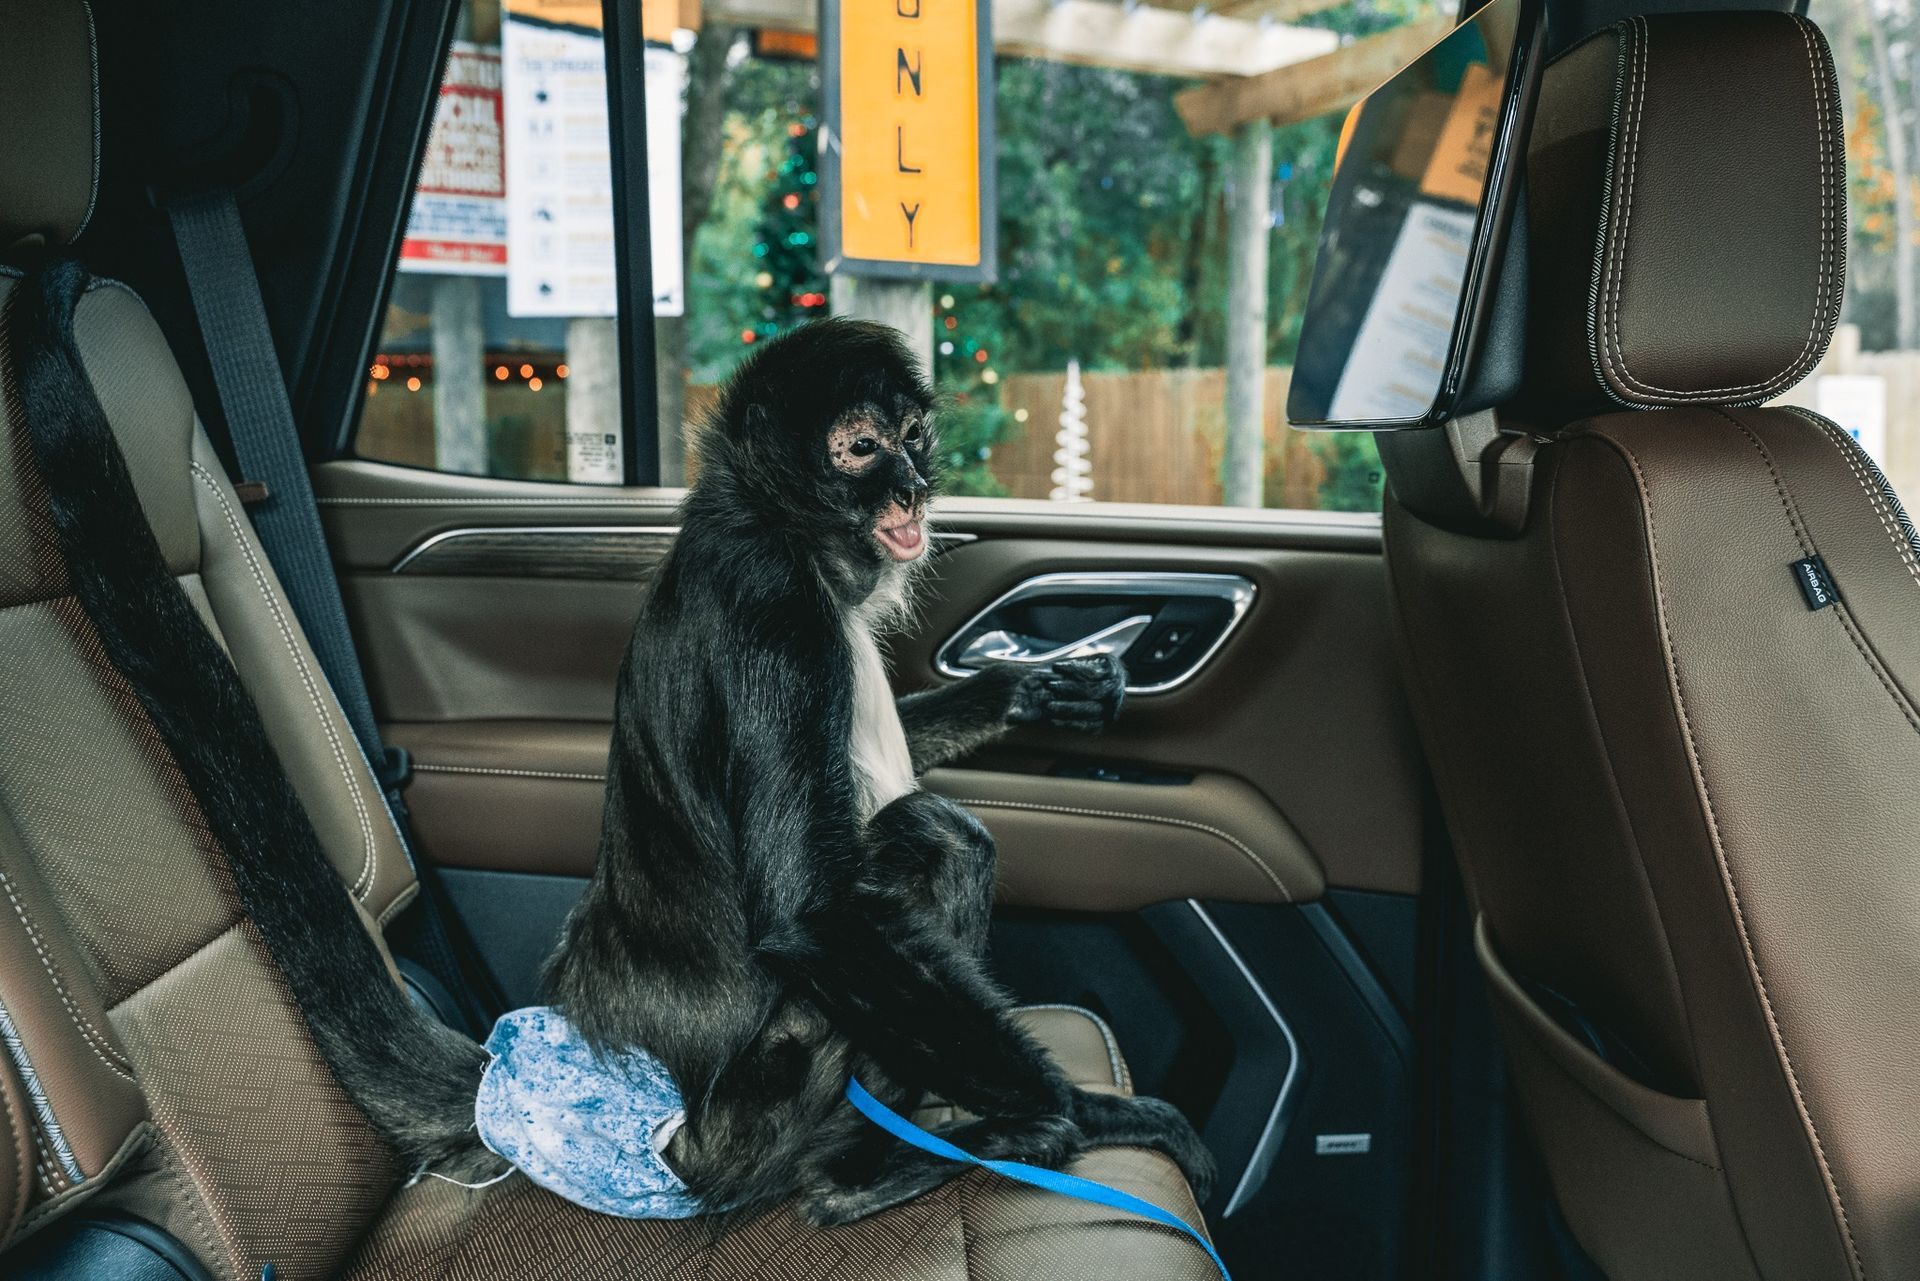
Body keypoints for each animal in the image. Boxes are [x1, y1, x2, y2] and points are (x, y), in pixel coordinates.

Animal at [540, 317, 1215, 1224]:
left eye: (913, 437)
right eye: (862, 448)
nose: (912, 489)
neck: (771, 523)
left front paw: (1038, 686)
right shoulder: (777, 613)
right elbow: (815, 914)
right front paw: (1091, 1109)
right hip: (769, 1096)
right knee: (940, 833)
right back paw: (868, 1170)